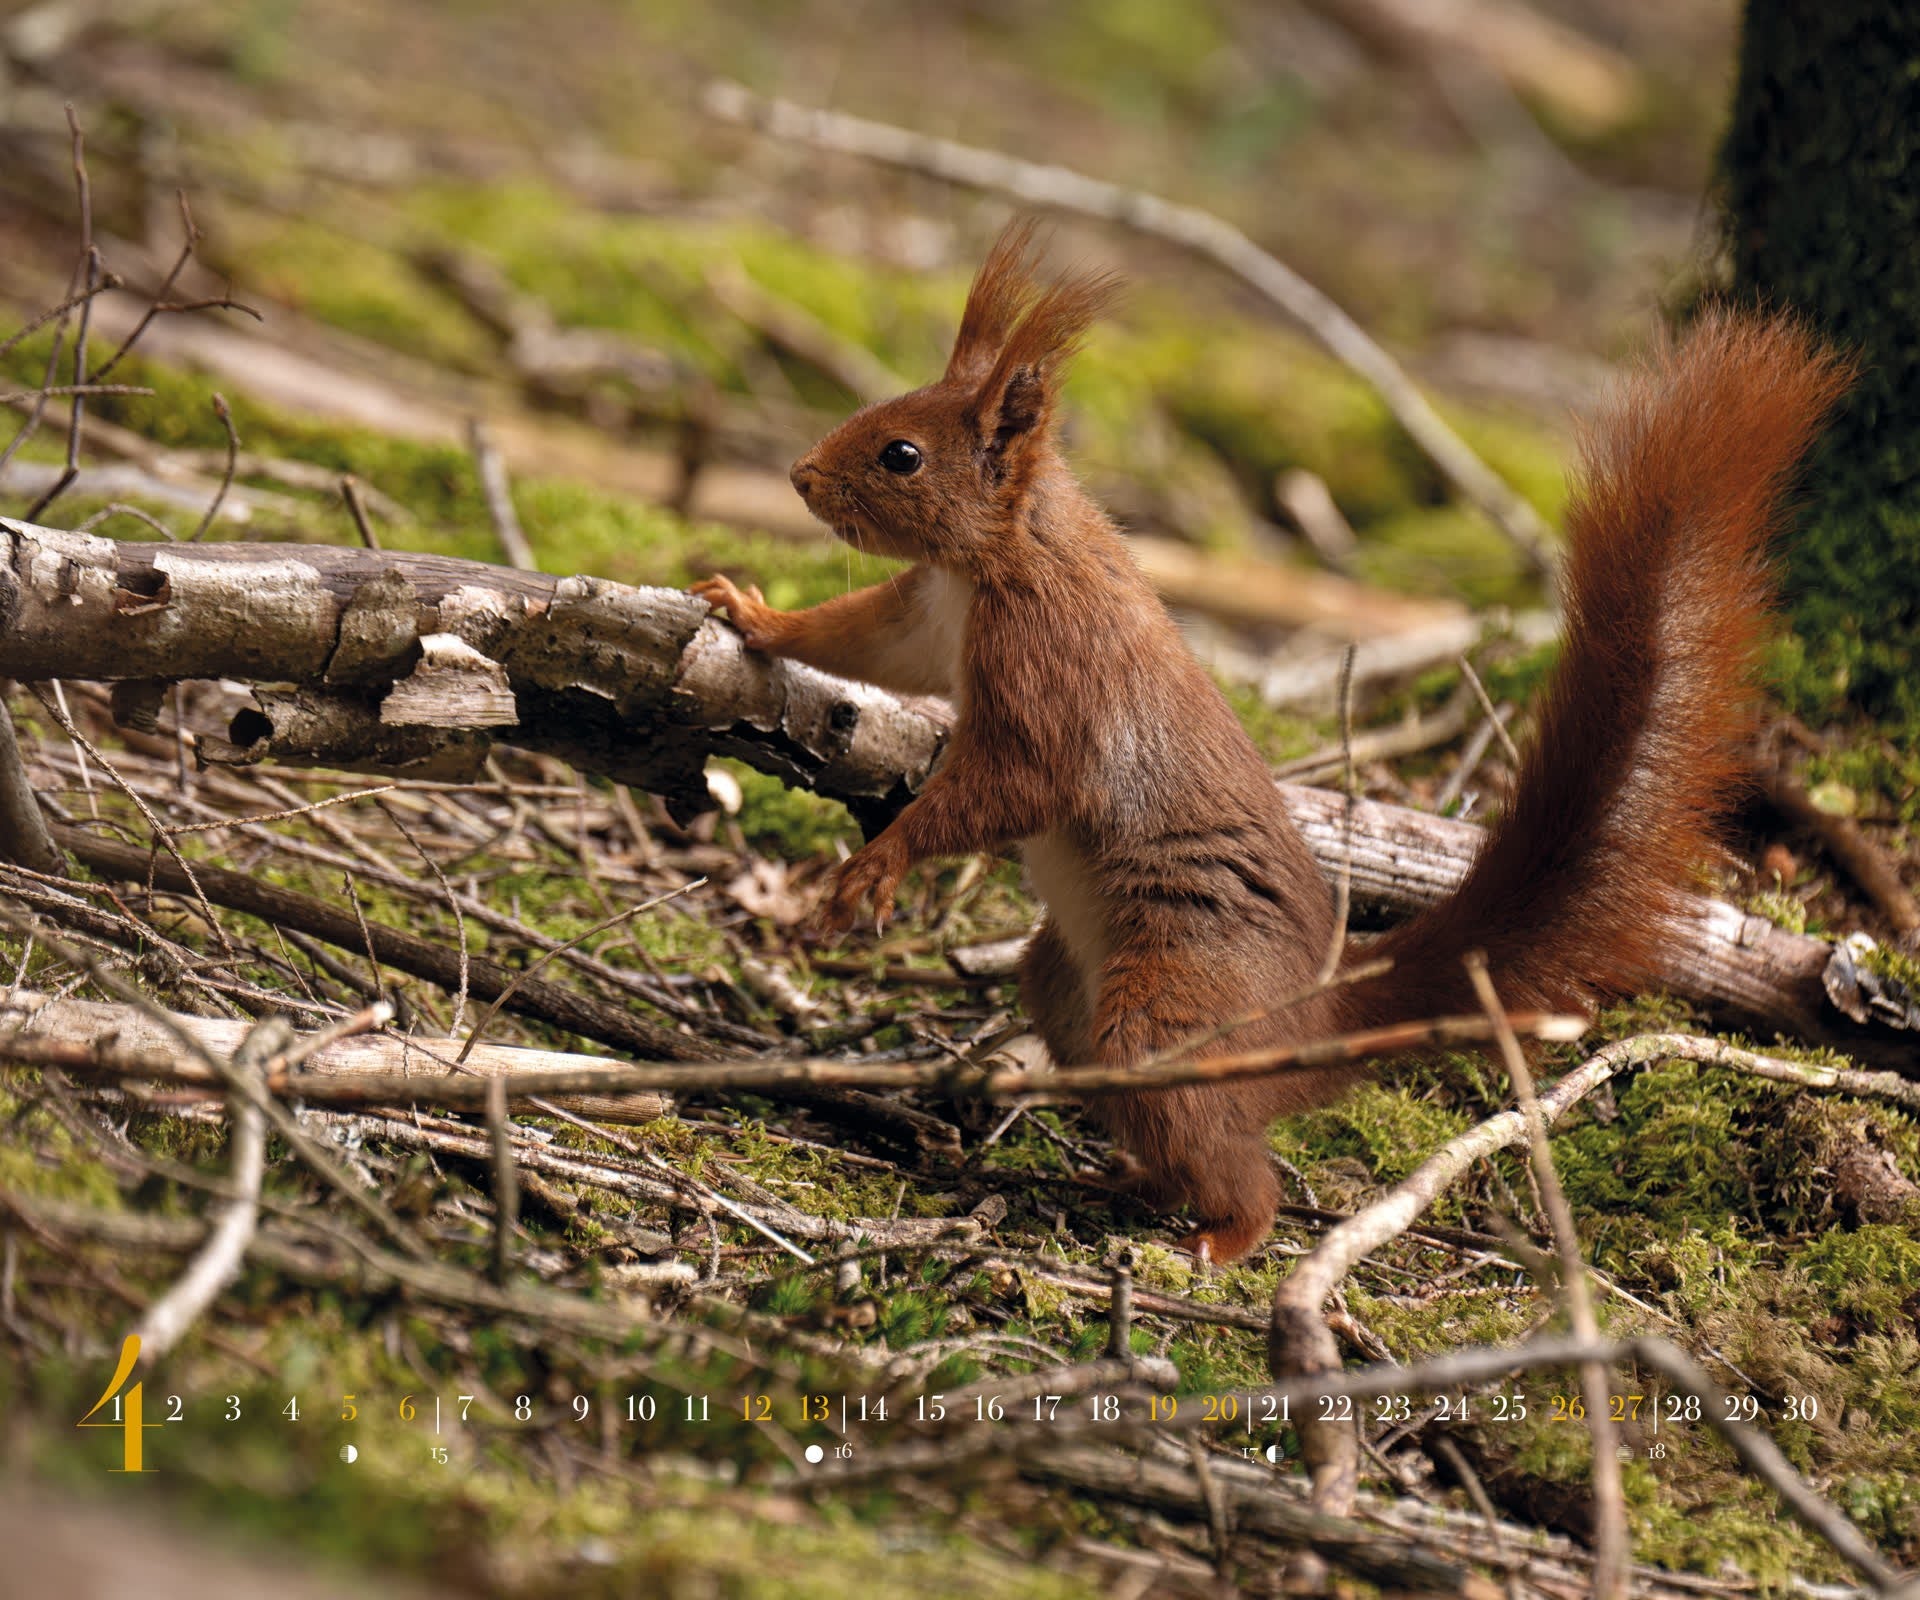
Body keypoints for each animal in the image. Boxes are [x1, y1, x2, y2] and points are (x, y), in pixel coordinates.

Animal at [691, 224, 1843, 1267]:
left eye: (902, 454)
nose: (798, 475)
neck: (1000, 558)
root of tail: (1303, 1018)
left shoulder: (1050, 671)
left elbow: (1012, 788)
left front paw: (876, 866)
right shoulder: (922, 617)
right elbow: (855, 639)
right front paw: (749, 612)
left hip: (1169, 1007)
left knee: (1241, 1164)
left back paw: (1221, 1236)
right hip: (1065, 988)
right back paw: (1124, 1180)